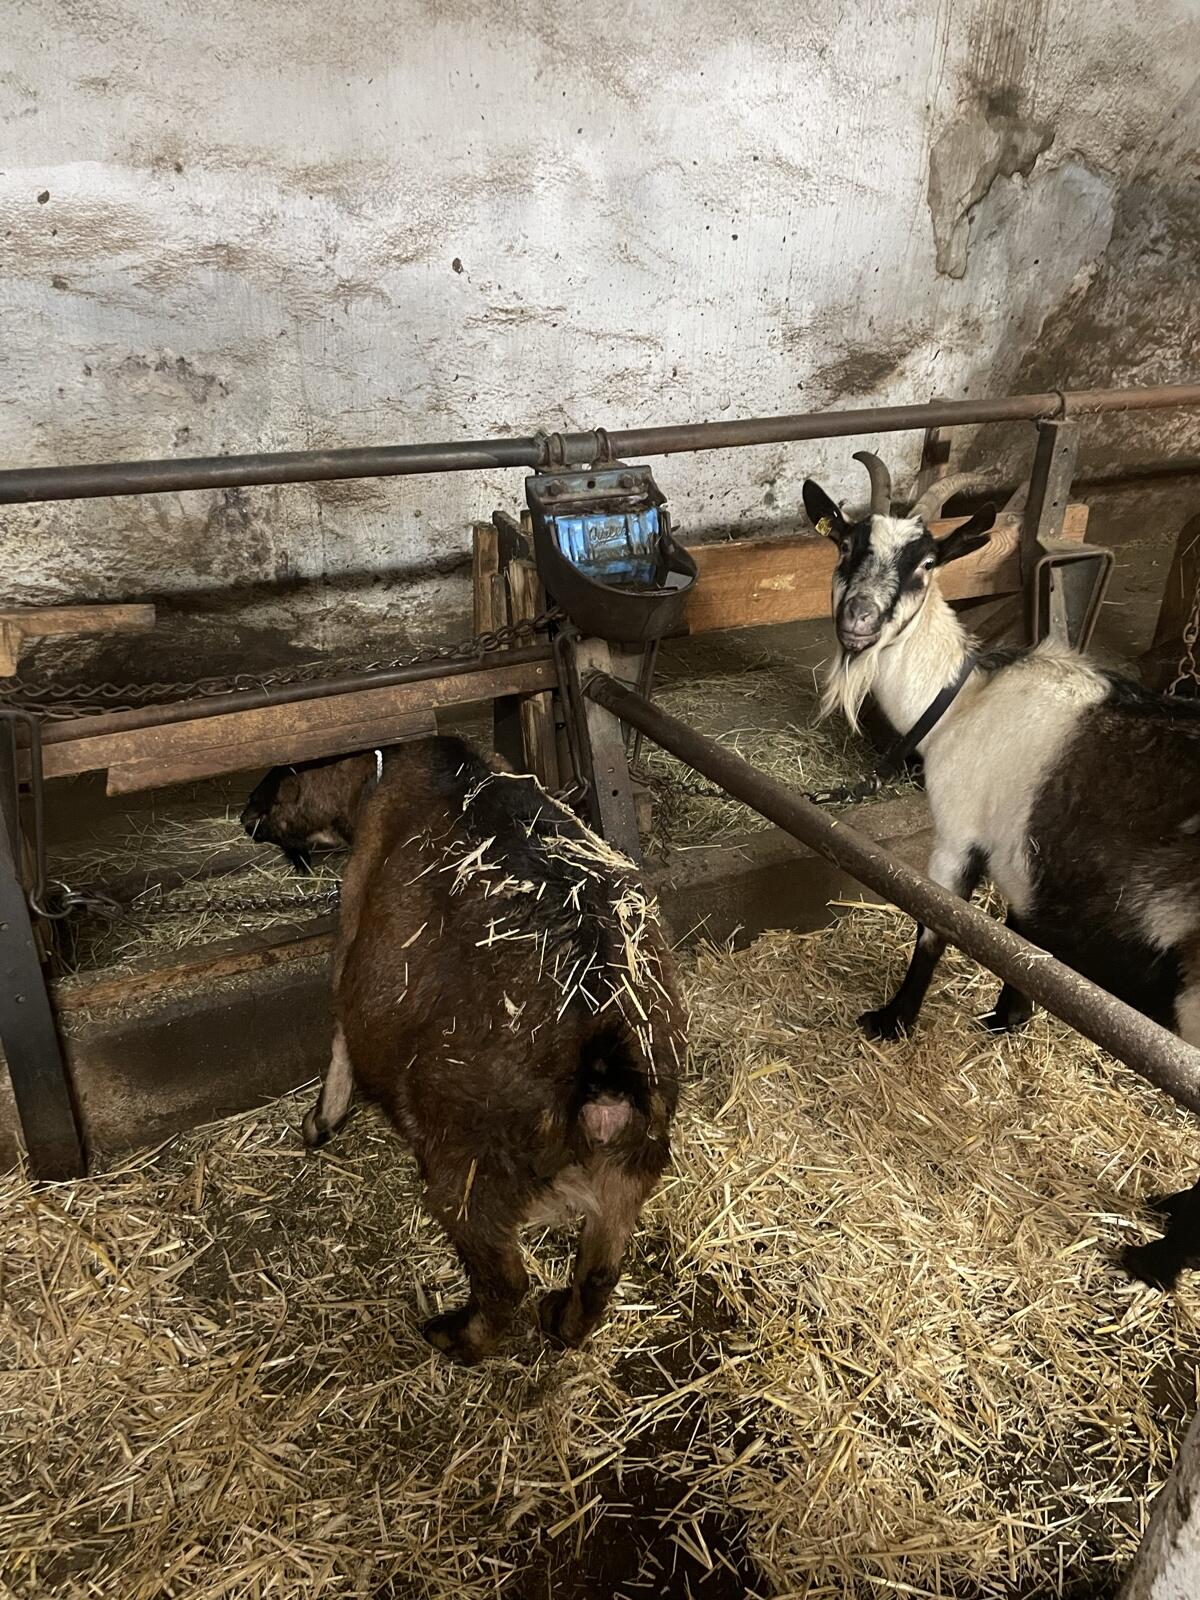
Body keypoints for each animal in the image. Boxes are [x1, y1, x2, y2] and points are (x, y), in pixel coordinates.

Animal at [243, 738, 685, 1363]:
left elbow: (340, 1035)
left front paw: (320, 1122)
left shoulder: (351, 933)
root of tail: (607, 1069)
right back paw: (560, 1320)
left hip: (469, 1172)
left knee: (505, 1282)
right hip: (633, 1166)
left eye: (277, 781)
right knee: (600, 1274)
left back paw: (454, 1336)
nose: (244, 815)